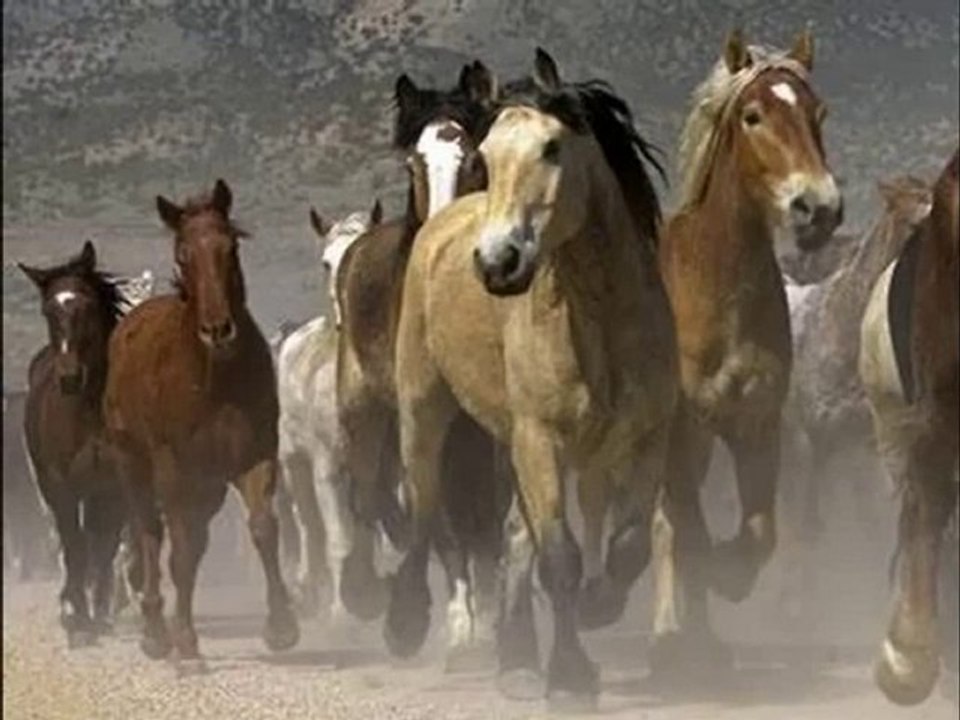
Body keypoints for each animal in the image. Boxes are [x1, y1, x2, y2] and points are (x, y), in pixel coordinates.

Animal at [18, 241, 133, 647]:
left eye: (86, 305)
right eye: (48, 310)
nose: (70, 377)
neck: (88, 409)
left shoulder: (113, 486)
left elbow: (103, 546)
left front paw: (98, 612)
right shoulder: (60, 485)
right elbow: (74, 546)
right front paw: (78, 619)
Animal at [103, 179, 299, 667]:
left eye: (230, 247)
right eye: (182, 255)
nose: (218, 330)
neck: (214, 376)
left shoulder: (254, 457)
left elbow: (263, 527)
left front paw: (281, 627)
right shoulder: (173, 469)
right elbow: (179, 549)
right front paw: (186, 645)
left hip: (207, 486)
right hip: (133, 465)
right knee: (150, 533)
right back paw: (157, 631)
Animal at [335, 61, 512, 668]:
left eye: (475, 159)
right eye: (413, 163)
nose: (441, 237)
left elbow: (486, 514)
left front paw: (489, 616)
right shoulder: (421, 415)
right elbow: (434, 511)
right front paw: (439, 622)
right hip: (363, 408)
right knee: (371, 494)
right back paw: (369, 590)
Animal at [390, 49, 676, 703]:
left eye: (552, 147)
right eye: (488, 157)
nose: (498, 263)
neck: (598, 318)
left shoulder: (647, 438)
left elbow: (626, 543)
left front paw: (599, 605)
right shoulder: (540, 439)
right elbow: (559, 557)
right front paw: (569, 676)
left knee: (512, 534)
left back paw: (517, 659)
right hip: (426, 409)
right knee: (425, 504)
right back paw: (407, 620)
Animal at [652, 28, 843, 671]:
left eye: (818, 113)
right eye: (753, 115)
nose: (818, 208)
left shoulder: (755, 424)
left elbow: (759, 533)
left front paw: (727, 581)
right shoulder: (680, 432)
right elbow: (689, 531)